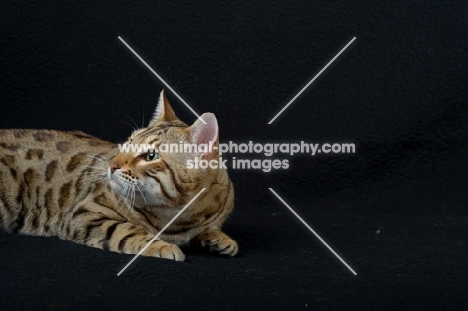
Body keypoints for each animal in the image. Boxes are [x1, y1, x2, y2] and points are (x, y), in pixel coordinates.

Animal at [0, 91, 238, 262]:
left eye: (151, 155)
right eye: (129, 142)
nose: (112, 164)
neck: (179, 219)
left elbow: (210, 229)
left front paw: (219, 238)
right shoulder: (86, 212)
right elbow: (128, 230)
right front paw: (160, 245)